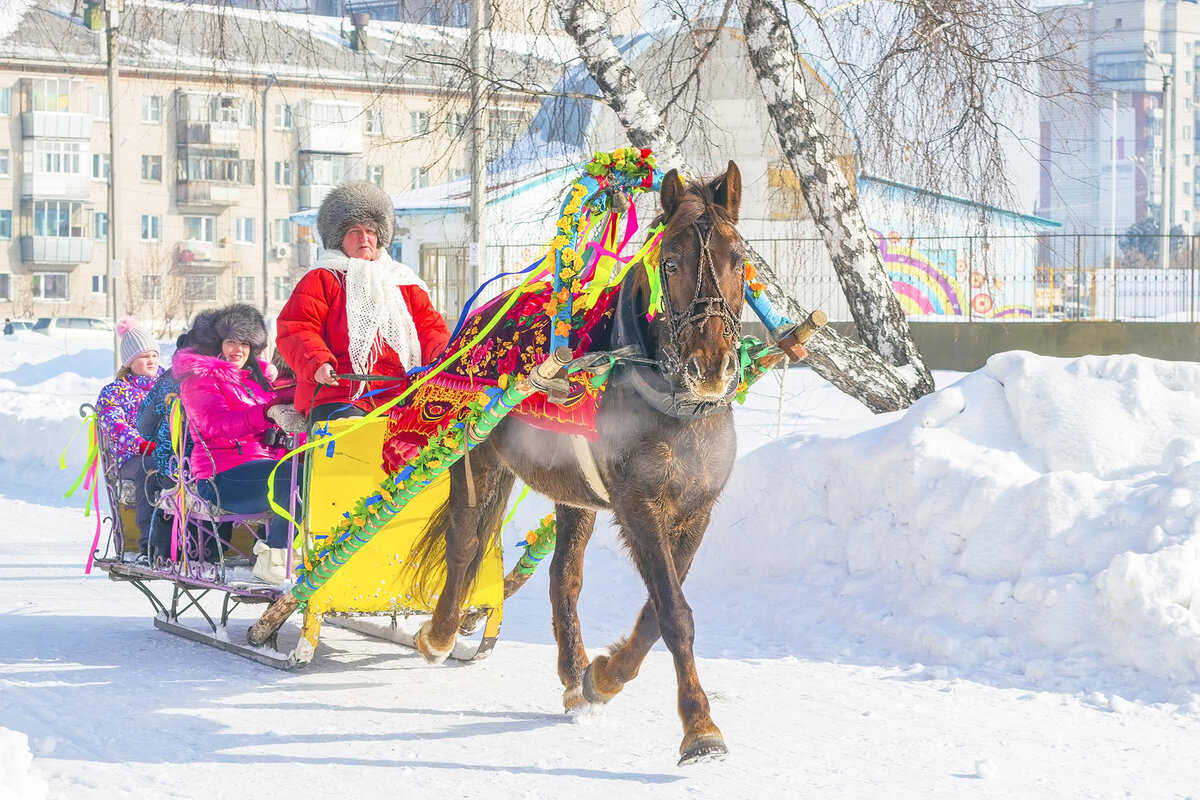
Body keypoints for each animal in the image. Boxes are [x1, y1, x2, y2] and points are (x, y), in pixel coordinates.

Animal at [415, 160, 748, 762]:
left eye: (739, 258)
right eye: (670, 262)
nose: (709, 366)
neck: (674, 407)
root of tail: (480, 318)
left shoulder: (695, 511)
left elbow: (655, 614)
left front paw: (604, 676)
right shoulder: (639, 505)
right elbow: (674, 613)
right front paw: (699, 726)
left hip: (574, 494)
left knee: (562, 579)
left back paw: (574, 675)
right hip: (475, 455)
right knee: (464, 541)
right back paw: (441, 632)